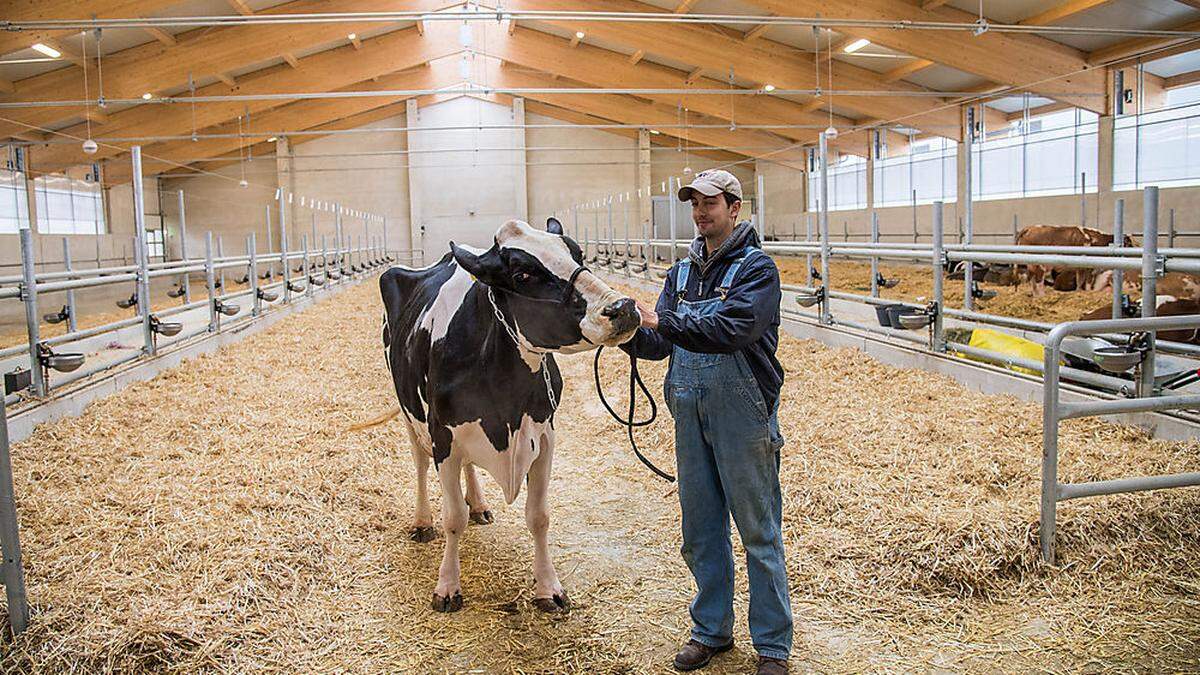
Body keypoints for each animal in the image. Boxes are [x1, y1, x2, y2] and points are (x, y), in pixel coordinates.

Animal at [379, 214, 643, 610]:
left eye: (577, 252)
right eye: (522, 274)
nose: (623, 307)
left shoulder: (544, 435)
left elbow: (539, 516)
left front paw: (549, 587)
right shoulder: (443, 437)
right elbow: (452, 517)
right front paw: (447, 586)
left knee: (469, 467)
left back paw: (479, 505)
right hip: (409, 412)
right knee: (421, 464)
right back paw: (422, 521)